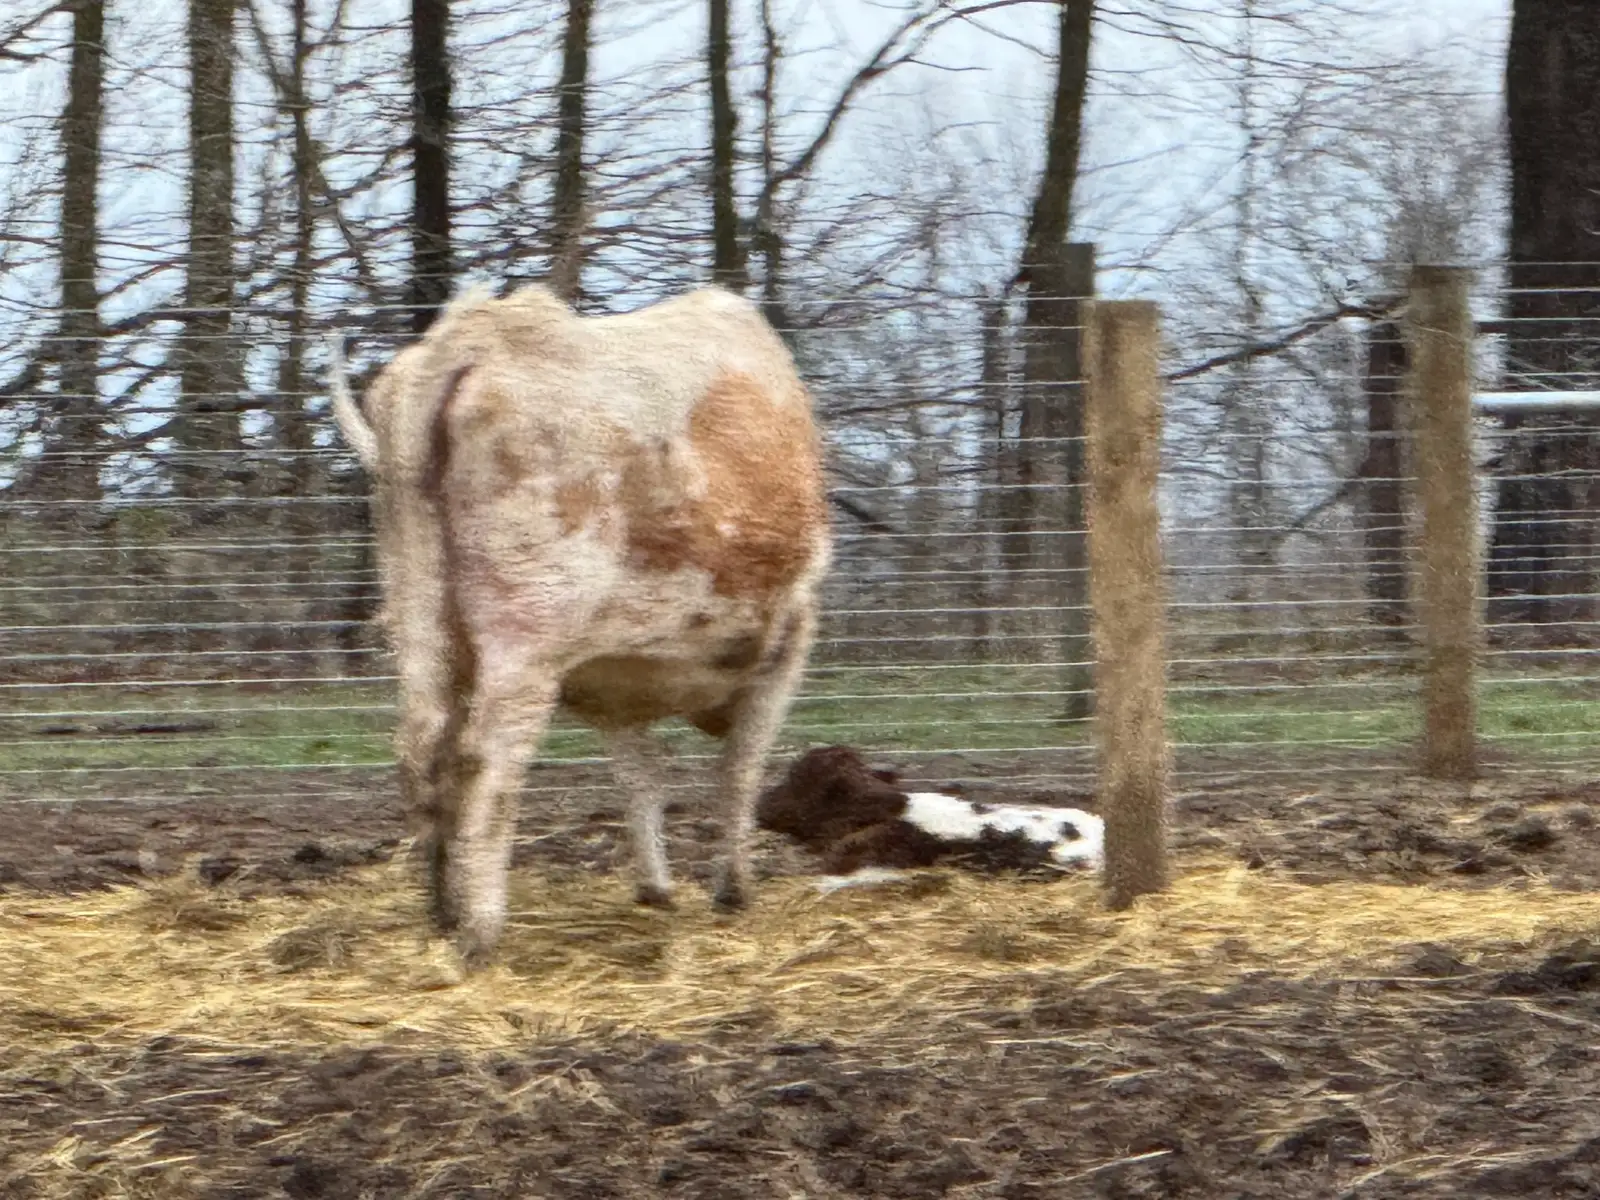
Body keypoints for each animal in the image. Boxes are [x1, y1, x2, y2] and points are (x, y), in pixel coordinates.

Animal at [328, 284, 831, 965]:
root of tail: (475, 333)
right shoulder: (789, 638)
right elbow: (738, 771)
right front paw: (734, 889)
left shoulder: (610, 678)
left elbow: (641, 774)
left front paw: (656, 885)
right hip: (526, 630)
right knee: (486, 757)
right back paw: (480, 929)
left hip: (416, 609)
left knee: (423, 743)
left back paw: (441, 910)